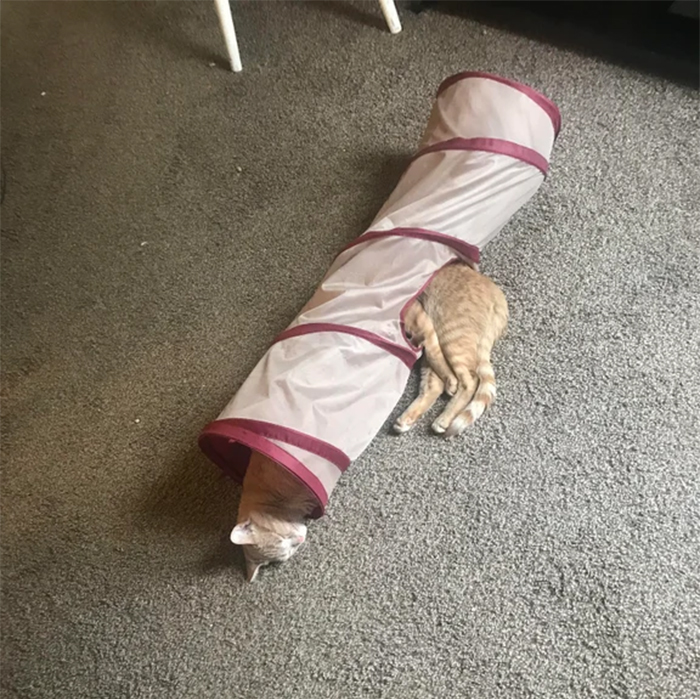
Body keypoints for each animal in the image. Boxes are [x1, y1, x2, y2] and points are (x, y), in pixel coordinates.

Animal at [396, 262, 506, 438]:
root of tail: (497, 293)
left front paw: (452, 382)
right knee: (434, 385)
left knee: (470, 380)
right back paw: (406, 420)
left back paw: (443, 418)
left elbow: (434, 351)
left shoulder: (421, 320)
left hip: (451, 336)